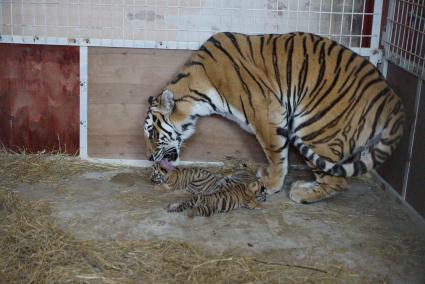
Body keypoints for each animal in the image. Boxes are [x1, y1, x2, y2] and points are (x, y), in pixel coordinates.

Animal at [143, 32, 404, 203]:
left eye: (152, 133)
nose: (147, 158)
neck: (197, 93)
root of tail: (394, 103)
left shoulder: (267, 113)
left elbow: (276, 153)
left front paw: (271, 185)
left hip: (313, 128)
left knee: (337, 181)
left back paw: (301, 193)